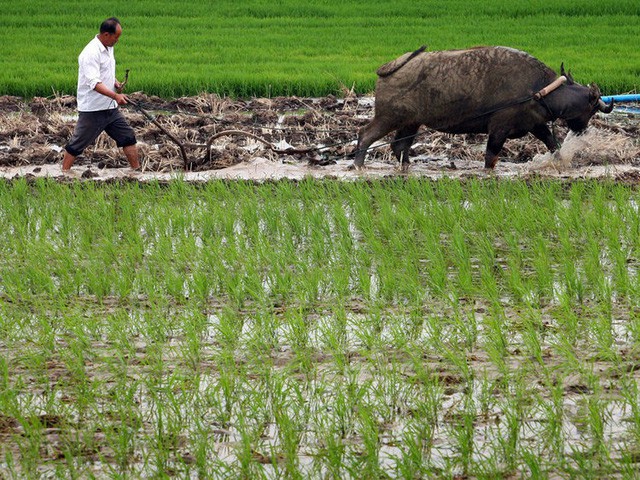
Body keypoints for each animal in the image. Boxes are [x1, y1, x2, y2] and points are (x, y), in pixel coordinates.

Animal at [356, 45, 616, 169]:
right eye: (592, 108)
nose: (581, 131)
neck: (537, 89)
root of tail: (389, 67)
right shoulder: (499, 128)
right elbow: (491, 156)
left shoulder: (536, 125)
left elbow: (553, 144)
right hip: (388, 118)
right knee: (365, 135)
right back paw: (358, 164)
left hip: (411, 123)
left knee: (400, 146)